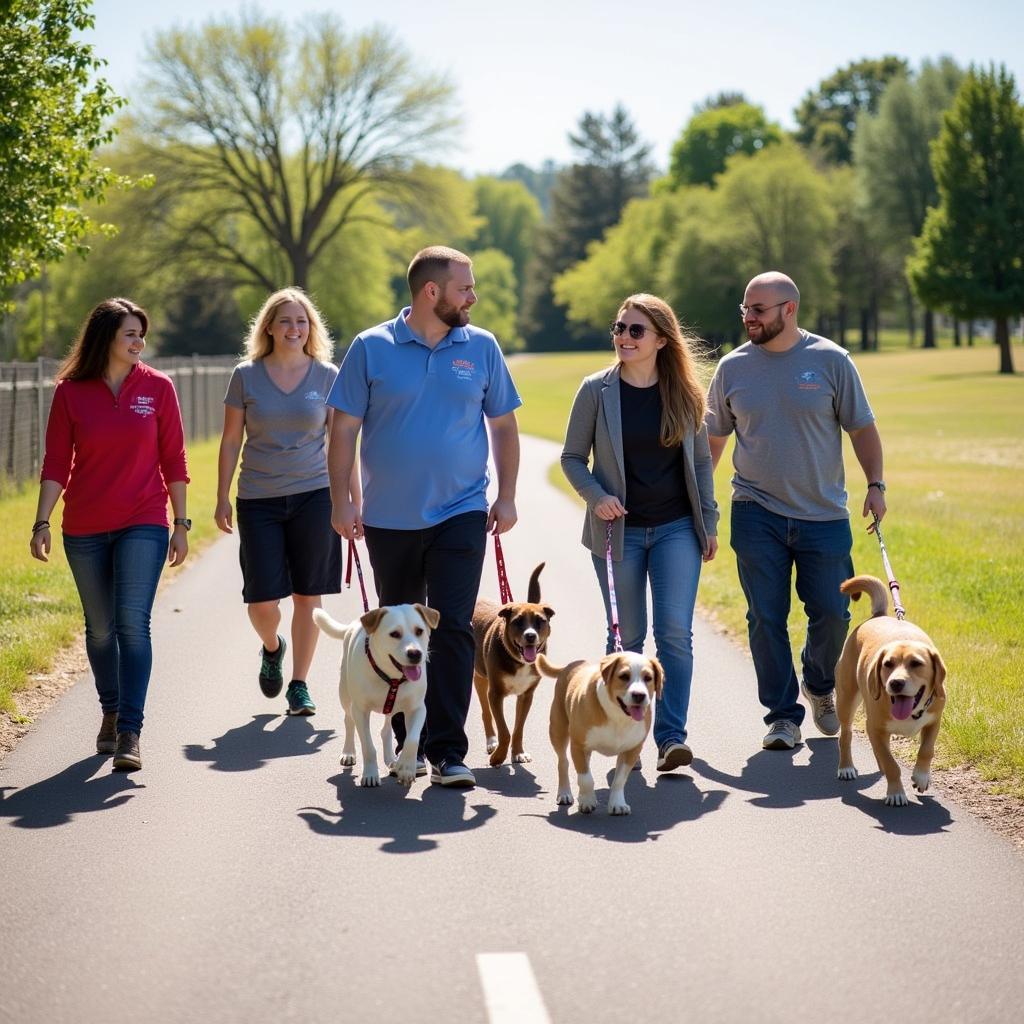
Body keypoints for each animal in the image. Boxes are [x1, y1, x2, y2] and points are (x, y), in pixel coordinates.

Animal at [311, 602, 440, 786]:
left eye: (419, 631)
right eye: (394, 634)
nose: (415, 653)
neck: (392, 678)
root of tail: (353, 625)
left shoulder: (417, 709)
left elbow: (412, 740)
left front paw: (406, 768)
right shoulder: (360, 711)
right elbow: (368, 746)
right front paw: (371, 774)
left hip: (391, 708)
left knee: (385, 729)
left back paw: (392, 760)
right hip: (345, 695)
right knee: (348, 721)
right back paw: (348, 752)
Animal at [468, 561, 552, 770]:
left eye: (540, 621)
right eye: (518, 622)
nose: (530, 636)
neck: (519, 661)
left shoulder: (526, 696)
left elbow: (518, 728)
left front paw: (518, 752)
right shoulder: (496, 694)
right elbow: (504, 730)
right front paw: (498, 756)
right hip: (481, 679)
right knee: (486, 712)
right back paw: (492, 741)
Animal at [536, 647, 663, 815]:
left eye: (648, 678)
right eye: (624, 676)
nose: (639, 695)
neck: (618, 717)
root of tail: (570, 666)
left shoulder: (632, 750)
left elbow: (619, 780)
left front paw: (617, 803)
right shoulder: (578, 745)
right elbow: (586, 778)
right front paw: (588, 801)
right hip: (558, 731)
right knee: (563, 762)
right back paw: (565, 793)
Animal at [835, 577, 946, 806]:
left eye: (916, 663)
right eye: (888, 664)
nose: (895, 683)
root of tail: (878, 616)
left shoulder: (934, 720)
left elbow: (927, 750)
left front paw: (921, 777)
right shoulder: (874, 727)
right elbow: (891, 763)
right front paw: (895, 792)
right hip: (847, 700)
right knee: (846, 735)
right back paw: (846, 767)